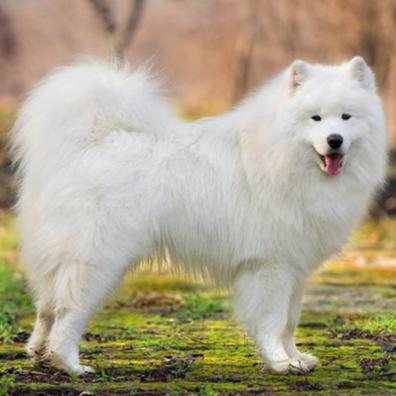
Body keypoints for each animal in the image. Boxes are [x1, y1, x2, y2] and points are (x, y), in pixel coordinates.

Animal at [10, 55, 388, 374]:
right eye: (316, 118)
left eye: (346, 117)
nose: (335, 140)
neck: (282, 157)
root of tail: (91, 142)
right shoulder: (270, 266)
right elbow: (273, 321)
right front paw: (280, 363)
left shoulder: (295, 268)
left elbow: (290, 322)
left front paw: (296, 358)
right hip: (97, 258)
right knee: (68, 311)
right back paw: (69, 365)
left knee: (46, 305)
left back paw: (39, 353)